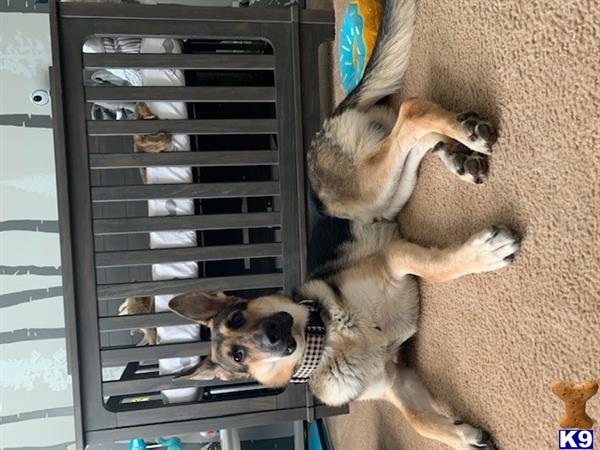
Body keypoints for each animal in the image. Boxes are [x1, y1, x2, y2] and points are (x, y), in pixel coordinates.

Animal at [166, 1, 516, 448]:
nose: (274, 334)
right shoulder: (396, 379)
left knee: (412, 112)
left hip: (368, 190)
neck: (328, 338)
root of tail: (331, 119)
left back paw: (465, 136)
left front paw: (485, 253)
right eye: (238, 355)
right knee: (413, 136)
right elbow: (420, 420)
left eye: (238, 318)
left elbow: (437, 268)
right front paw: (463, 436)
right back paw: (462, 152)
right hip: (387, 193)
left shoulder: (395, 259)